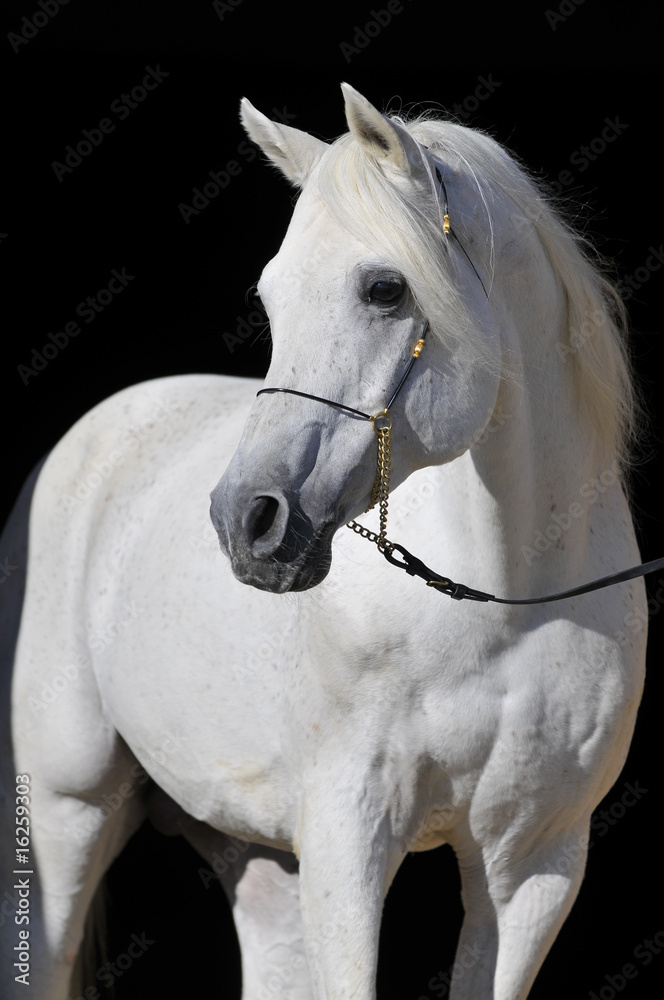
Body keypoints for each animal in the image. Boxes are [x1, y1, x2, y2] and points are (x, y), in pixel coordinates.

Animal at [0, 82, 647, 999]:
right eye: (270, 300)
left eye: (384, 289)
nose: (247, 520)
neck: (504, 606)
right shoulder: (348, 839)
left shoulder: (532, 866)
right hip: (65, 810)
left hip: (258, 856)